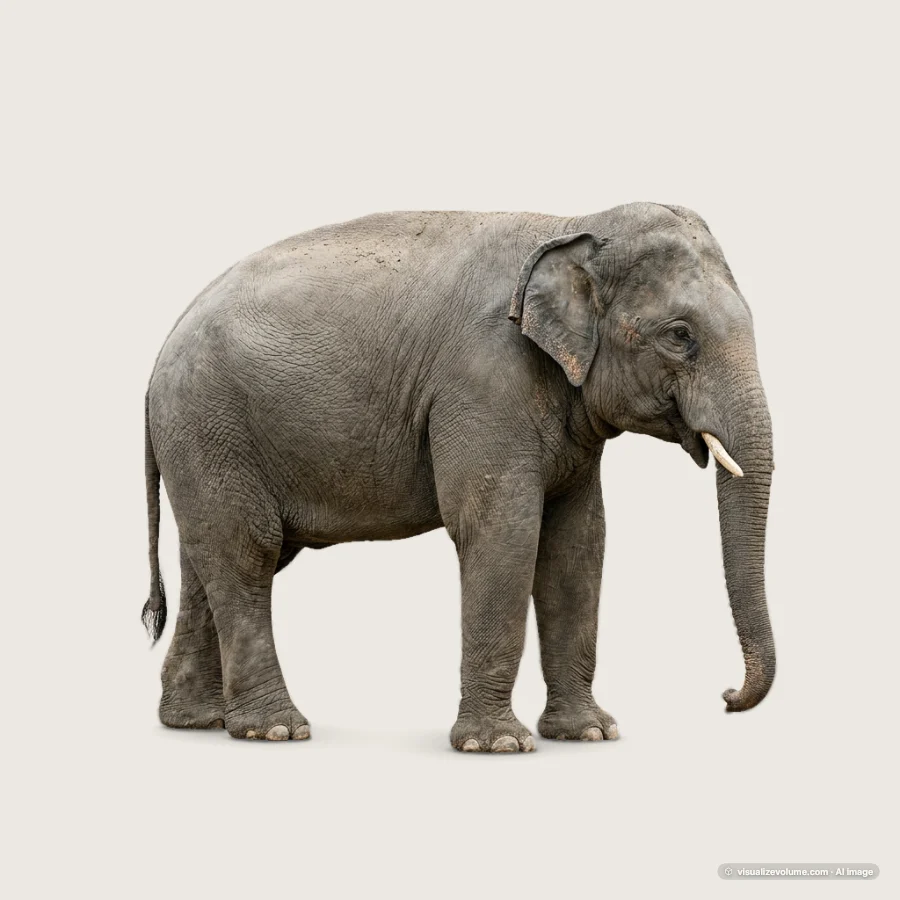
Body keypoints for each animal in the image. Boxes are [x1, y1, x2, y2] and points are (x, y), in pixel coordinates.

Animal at [142, 202, 775, 751]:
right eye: (680, 335)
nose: (725, 695)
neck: (572, 223)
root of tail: (156, 360)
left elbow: (578, 542)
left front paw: (591, 734)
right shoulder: (482, 383)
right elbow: (502, 531)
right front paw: (497, 745)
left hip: (204, 444)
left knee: (208, 563)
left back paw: (196, 721)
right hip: (210, 428)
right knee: (247, 554)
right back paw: (275, 730)